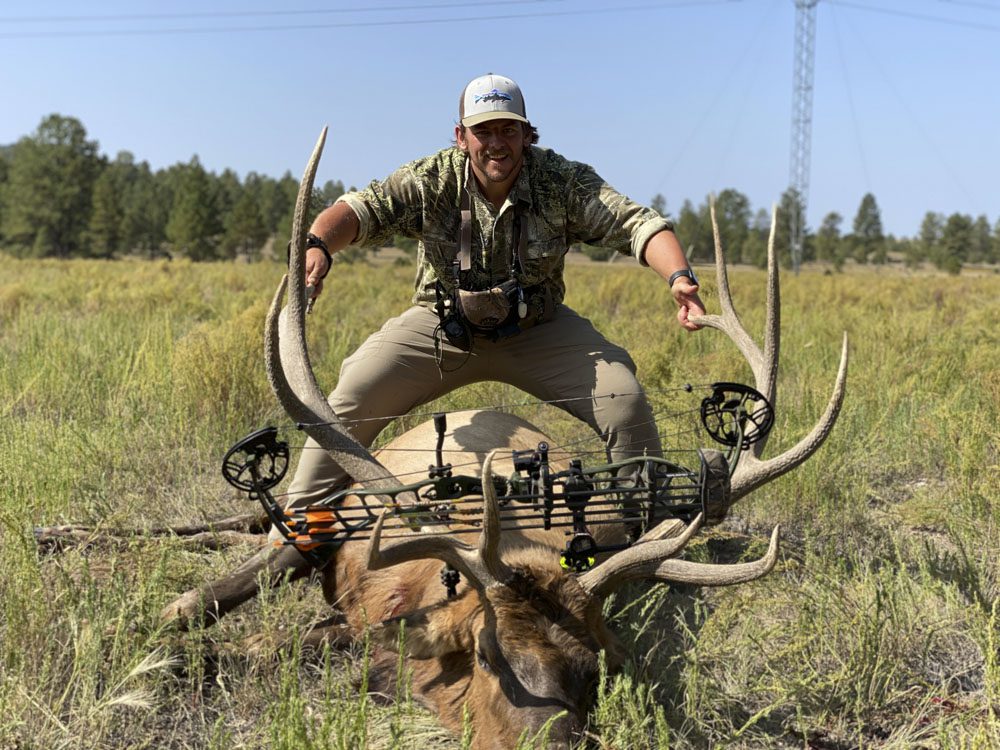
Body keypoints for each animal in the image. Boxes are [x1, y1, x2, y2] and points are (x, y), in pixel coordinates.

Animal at [161, 129, 848, 749]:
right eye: (488, 656)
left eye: (591, 673)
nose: (554, 742)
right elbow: (225, 620)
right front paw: (175, 645)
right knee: (261, 527)